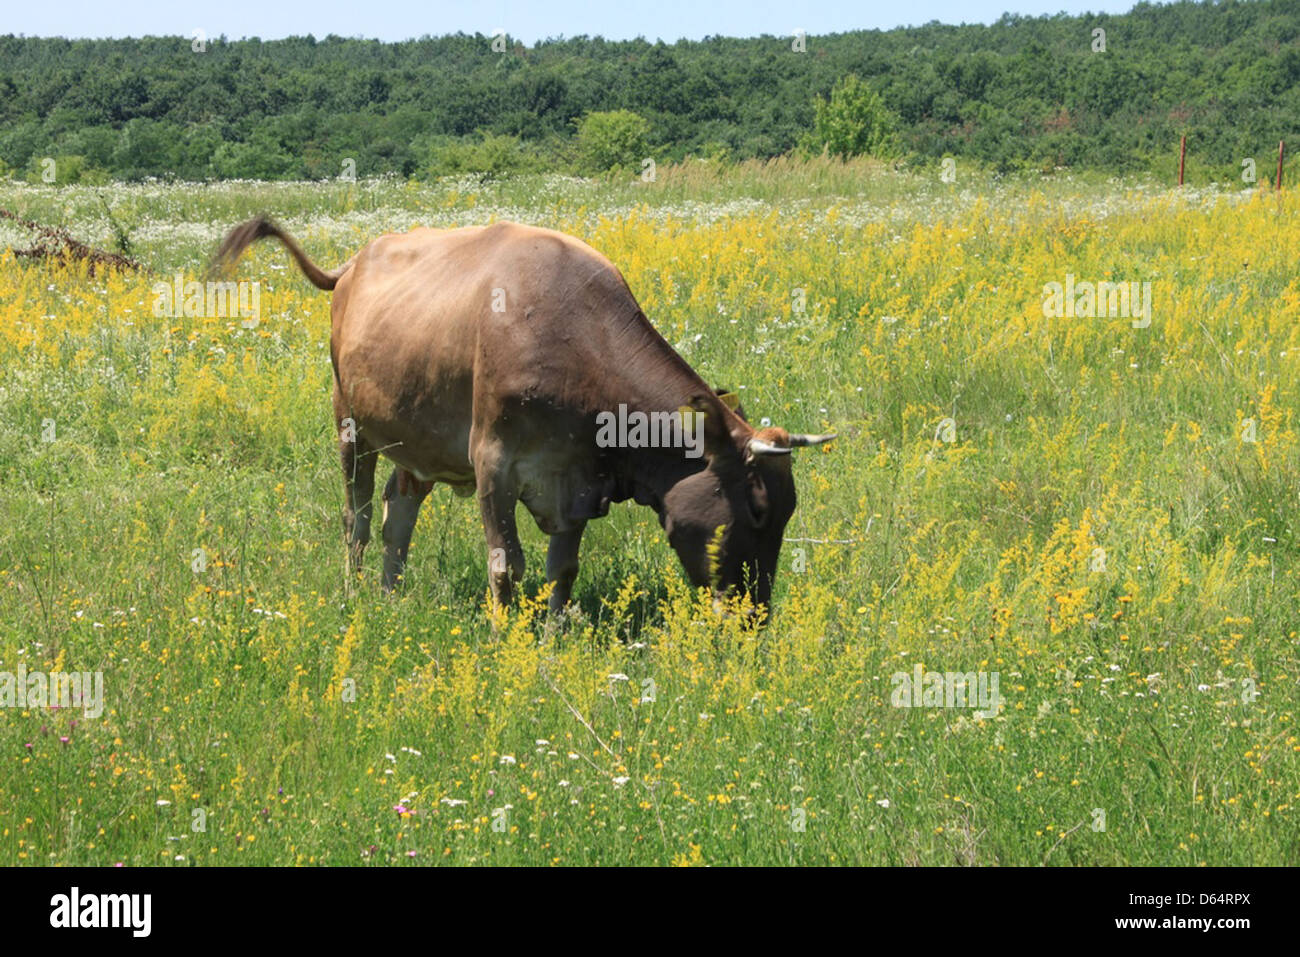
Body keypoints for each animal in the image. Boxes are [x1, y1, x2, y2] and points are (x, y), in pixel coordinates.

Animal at [213, 218, 834, 618]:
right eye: (757, 509)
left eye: (789, 510)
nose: (755, 618)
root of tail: (354, 262)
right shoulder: (493, 463)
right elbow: (505, 565)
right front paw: (502, 639)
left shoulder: (579, 476)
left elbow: (563, 568)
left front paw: (557, 635)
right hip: (350, 423)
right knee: (357, 515)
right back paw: (354, 594)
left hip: (419, 436)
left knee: (398, 508)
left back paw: (391, 596)